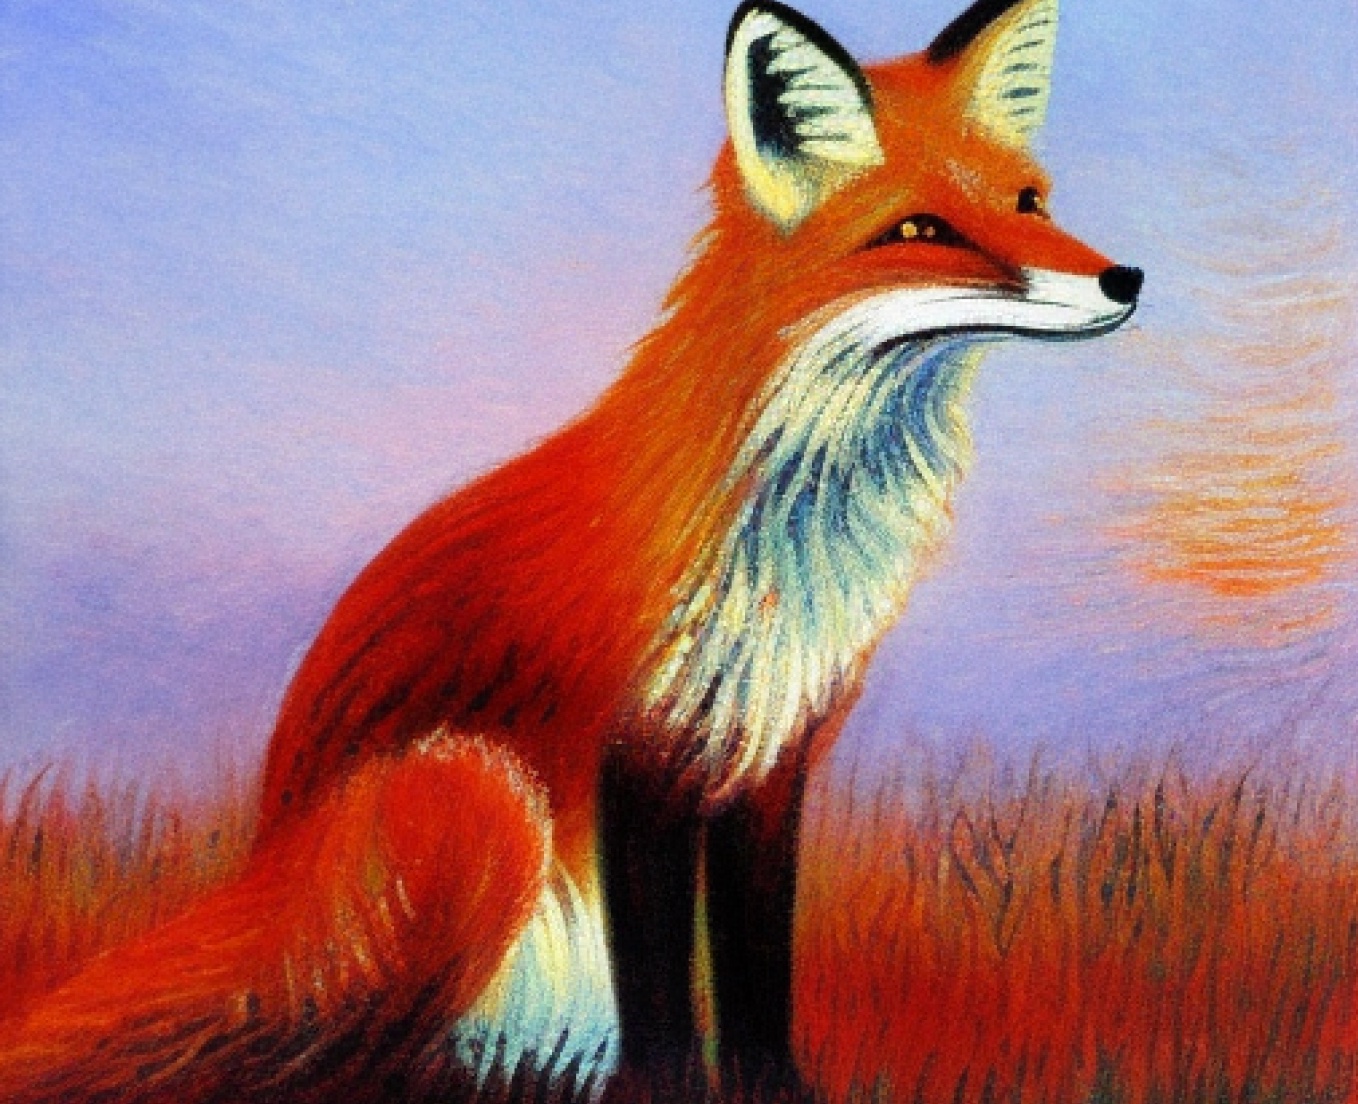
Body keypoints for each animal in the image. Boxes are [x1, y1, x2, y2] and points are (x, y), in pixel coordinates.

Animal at [0, 0, 1141, 1100]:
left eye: (1029, 202)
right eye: (921, 228)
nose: (1124, 277)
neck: (791, 527)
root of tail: (254, 876)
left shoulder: (772, 750)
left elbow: (756, 959)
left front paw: (772, 1088)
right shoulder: (632, 746)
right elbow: (656, 972)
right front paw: (665, 1090)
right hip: (471, 798)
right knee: (326, 1052)